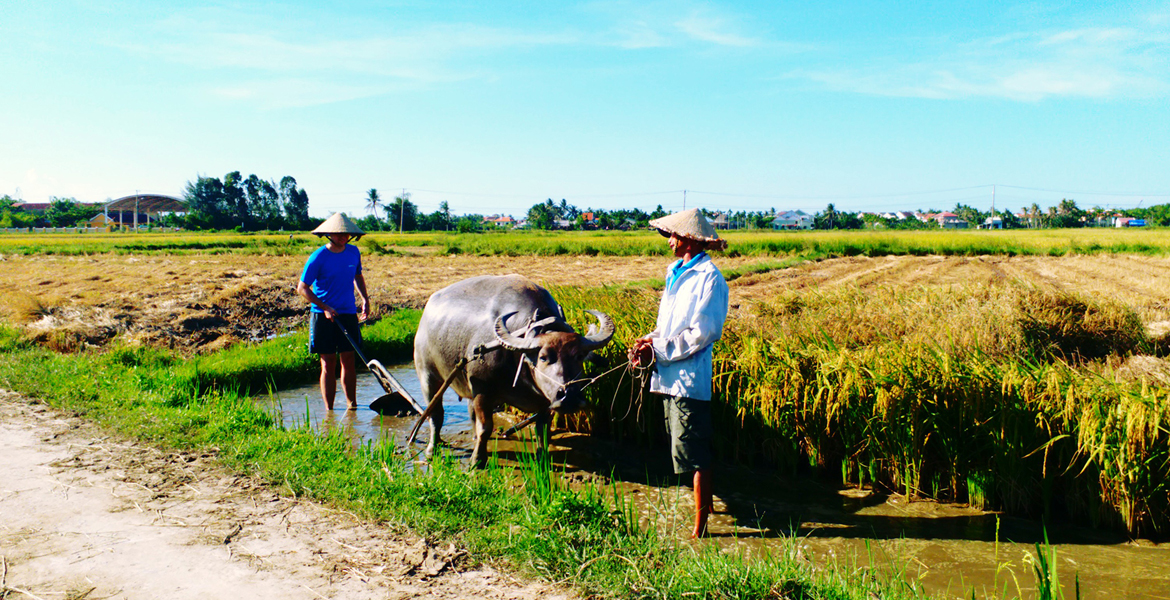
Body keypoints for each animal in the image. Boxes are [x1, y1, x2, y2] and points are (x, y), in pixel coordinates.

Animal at [411, 273, 613, 465]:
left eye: (579, 356)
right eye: (543, 357)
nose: (569, 396)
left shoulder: (545, 400)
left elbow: (543, 430)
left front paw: (542, 458)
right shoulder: (482, 390)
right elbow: (485, 427)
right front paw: (477, 460)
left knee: (470, 413)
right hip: (427, 376)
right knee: (435, 414)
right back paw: (432, 449)